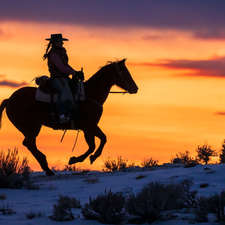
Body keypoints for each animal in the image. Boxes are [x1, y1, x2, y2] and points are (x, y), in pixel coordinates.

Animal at [0, 58, 137, 176]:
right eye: (124, 73)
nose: (135, 88)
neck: (90, 94)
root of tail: (9, 99)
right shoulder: (89, 126)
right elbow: (103, 139)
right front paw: (91, 157)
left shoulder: (88, 129)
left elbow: (92, 146)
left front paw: (74, 159)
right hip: (27, 127)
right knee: (31, 145)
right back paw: (48, 169)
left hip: (35, 127)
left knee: (28, 144)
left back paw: (45, 163)